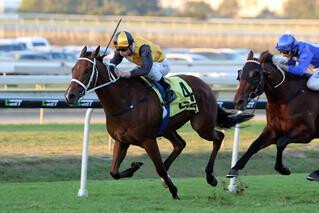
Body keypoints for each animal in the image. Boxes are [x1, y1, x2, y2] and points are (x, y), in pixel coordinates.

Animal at [65, 45, 255, 199]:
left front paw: (174, 191)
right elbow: (114, 172)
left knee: (218, 137)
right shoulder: (121, 140)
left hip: (201, 126)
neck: (125, 101)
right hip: (168, 128)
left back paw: (210, 177)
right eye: (73, 69)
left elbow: (159, 168)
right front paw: (134, 166)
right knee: (180, 144)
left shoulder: (148, 140)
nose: (70, 95)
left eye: (87, 70)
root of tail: (205, 85)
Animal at [226, 50, 319, 181]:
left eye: (255, 74)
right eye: (240, 74)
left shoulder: (307, 132)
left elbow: (281, 142)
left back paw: (316, 173)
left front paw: (283, 169)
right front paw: (234, 168)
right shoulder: (273, 130)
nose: (238, 102)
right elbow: (254, 145)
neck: (288, 97)